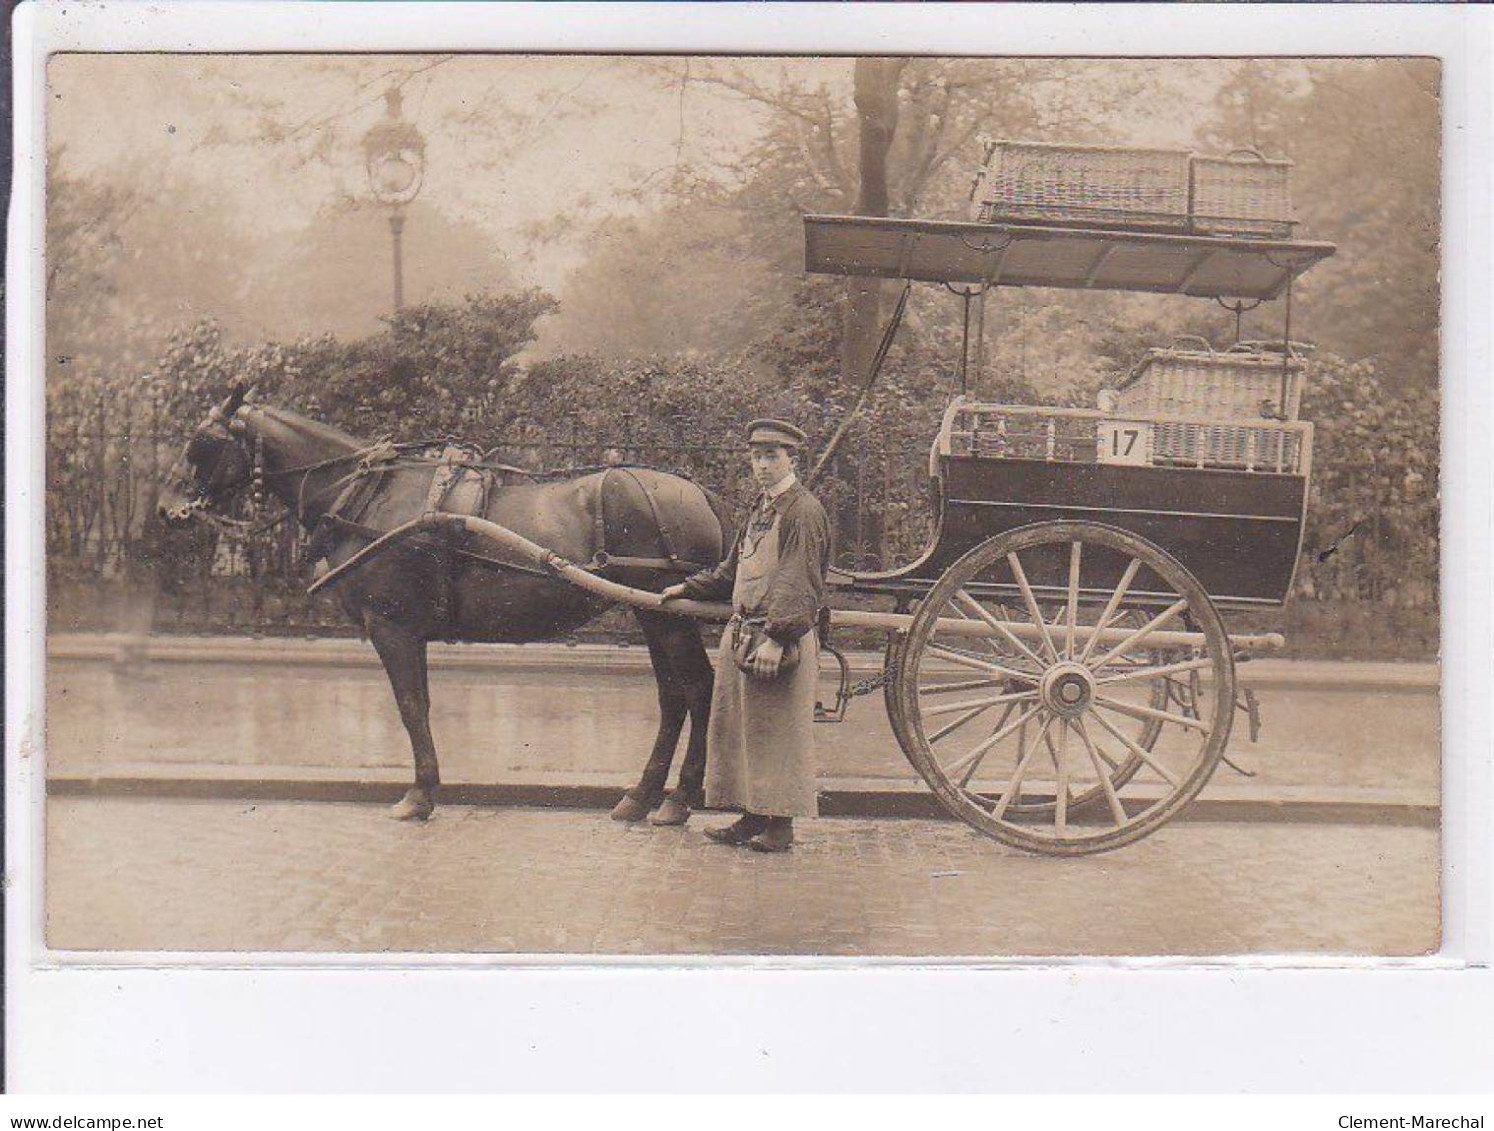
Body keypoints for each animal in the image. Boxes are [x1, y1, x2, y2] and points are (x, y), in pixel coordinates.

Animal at [156, 385, 729, 818]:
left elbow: (412, 707)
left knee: (698, 687)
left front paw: (419, 794)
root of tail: (696, 491)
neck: (367, 495)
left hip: (667, 616)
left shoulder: (393, 627)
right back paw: (642, 796)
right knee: (673, 695)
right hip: (652, 612)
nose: (167, 508)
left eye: (203, 441)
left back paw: (679, 799)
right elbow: (420, 705)